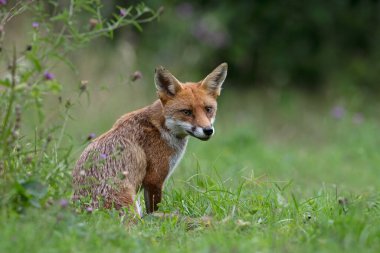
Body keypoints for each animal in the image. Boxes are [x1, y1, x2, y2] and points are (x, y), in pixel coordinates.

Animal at [73, 63, 229, 215]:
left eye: (208, 109)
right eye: (187, 112)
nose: (208, 130)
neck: (161, 127)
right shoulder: (154, 179)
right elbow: (152, 214)